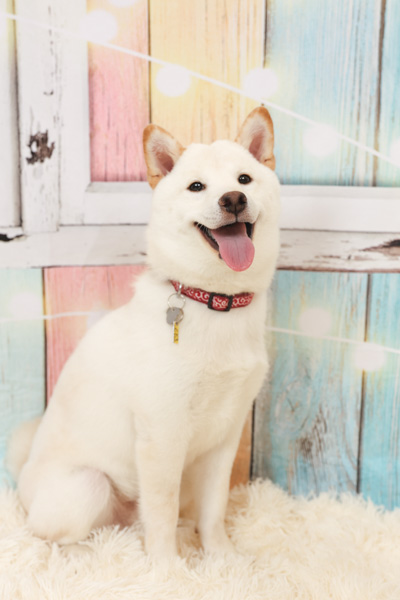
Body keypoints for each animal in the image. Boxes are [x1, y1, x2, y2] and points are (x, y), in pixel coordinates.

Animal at [7, 106, 280, 560]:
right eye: (196, 186)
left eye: (244, 179)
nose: (233, 200)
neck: (215, 302)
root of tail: (24, 480)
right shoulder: (162, 434)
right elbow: (162, 510)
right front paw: (168, 566)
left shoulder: (225, 435)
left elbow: (214, 507)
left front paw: (221, 558)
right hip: (88, 486)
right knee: (48, 538)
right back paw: (90, 555)